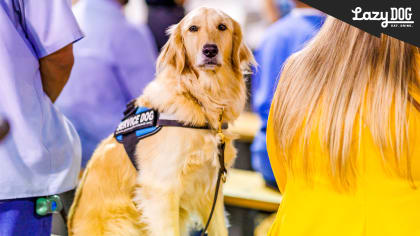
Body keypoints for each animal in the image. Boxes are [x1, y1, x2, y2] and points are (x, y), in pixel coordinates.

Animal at [67, 7, 254, 236]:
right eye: (193, 28)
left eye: (222, 27)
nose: (210, 50)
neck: (199, 98)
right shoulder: (162, 190)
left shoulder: (211, 189)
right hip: (122, 223)